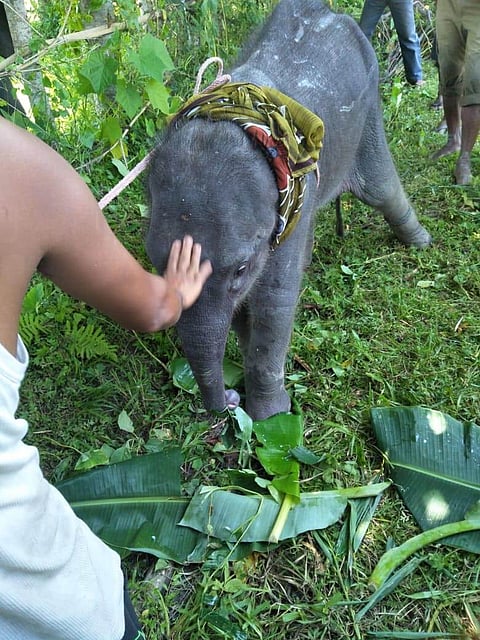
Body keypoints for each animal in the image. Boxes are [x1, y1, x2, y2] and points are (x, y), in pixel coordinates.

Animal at [146, 0, 432, 421]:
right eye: (155, 264)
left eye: (240, 269)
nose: (229, 400)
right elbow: (249, 308)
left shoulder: (286, 207)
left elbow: (273, 302)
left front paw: (272, 416)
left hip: (368, 111)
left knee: (380, 188)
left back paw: (420, 243)